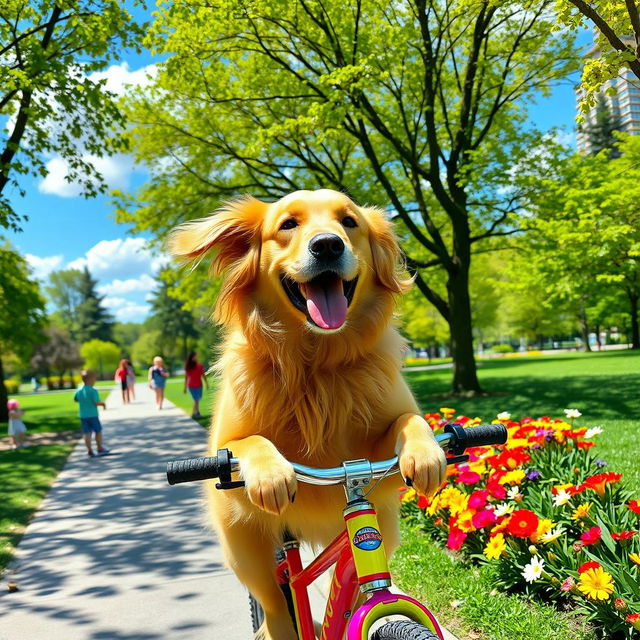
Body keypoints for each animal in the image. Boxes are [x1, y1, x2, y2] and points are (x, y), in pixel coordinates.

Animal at [172, 188, 448, 636]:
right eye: (288, 224)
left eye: (349, 222)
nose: (328, 245)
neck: (316, 362)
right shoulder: (225, 450)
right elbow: (248, 441)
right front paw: (270, 473)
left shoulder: (376, 457)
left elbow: (411, 420)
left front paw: (425, 453)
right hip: (244, 548)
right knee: (275, 603)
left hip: (386, 526)